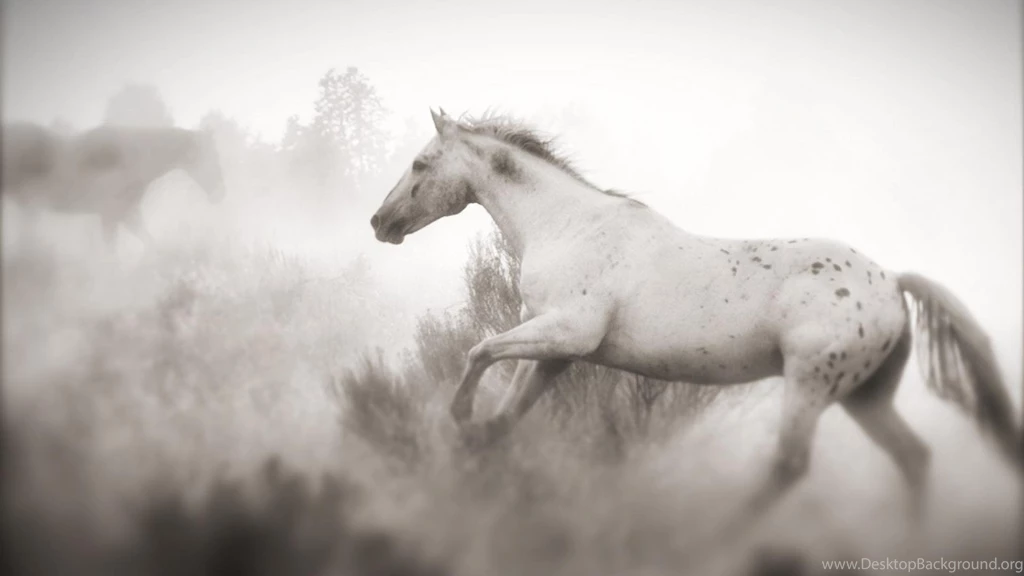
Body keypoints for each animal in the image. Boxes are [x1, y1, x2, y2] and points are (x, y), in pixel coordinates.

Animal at [1, 122, 225, 250]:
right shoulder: (110, 216)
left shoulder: (127, 214)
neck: (131, 162)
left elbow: (151, 242)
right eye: (209, 157)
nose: (220, 194)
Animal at [370, 108, 1022, 534]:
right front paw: (478, 460)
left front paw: (459, 418)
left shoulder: (566, 331)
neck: (570, 226)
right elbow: (505, 415)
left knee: (789, 467)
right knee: (913, 458)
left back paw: (718, 539)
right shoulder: (559, 352)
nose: (380, 222)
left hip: (811, 384)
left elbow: (477, 351)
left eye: (421, 163)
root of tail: (890, 280)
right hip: (866, 397)